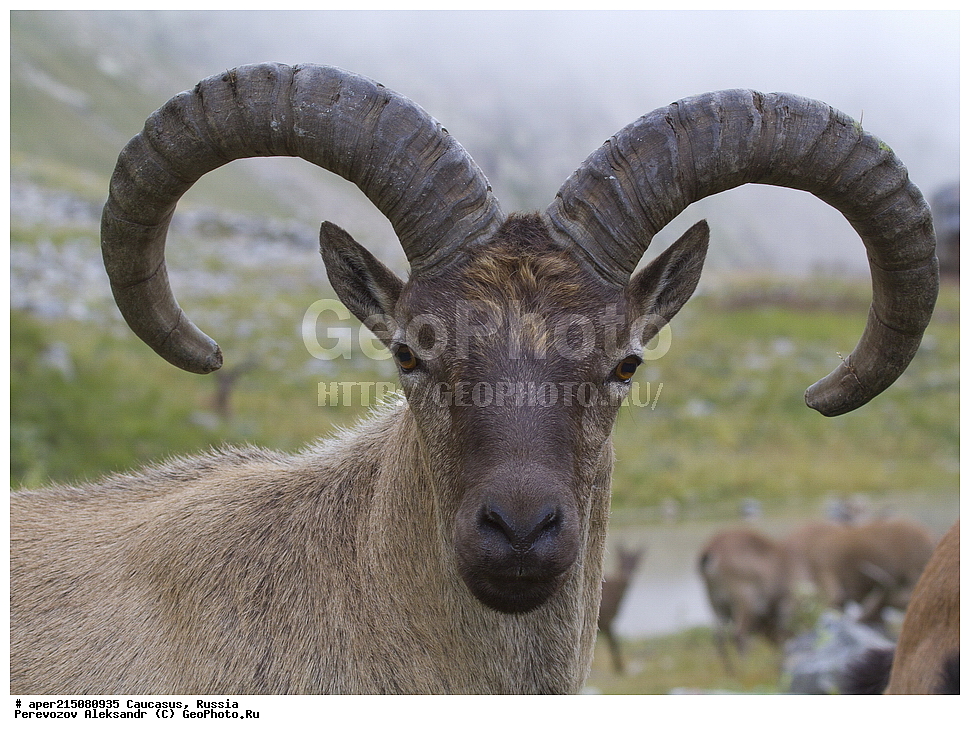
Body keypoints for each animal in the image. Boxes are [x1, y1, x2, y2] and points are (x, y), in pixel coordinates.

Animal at [597, 546, 645, 674]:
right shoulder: (606, 620)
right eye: (621, 562)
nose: (626, 576)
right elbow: (614, 644)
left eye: (635, 564)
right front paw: (620, 668)